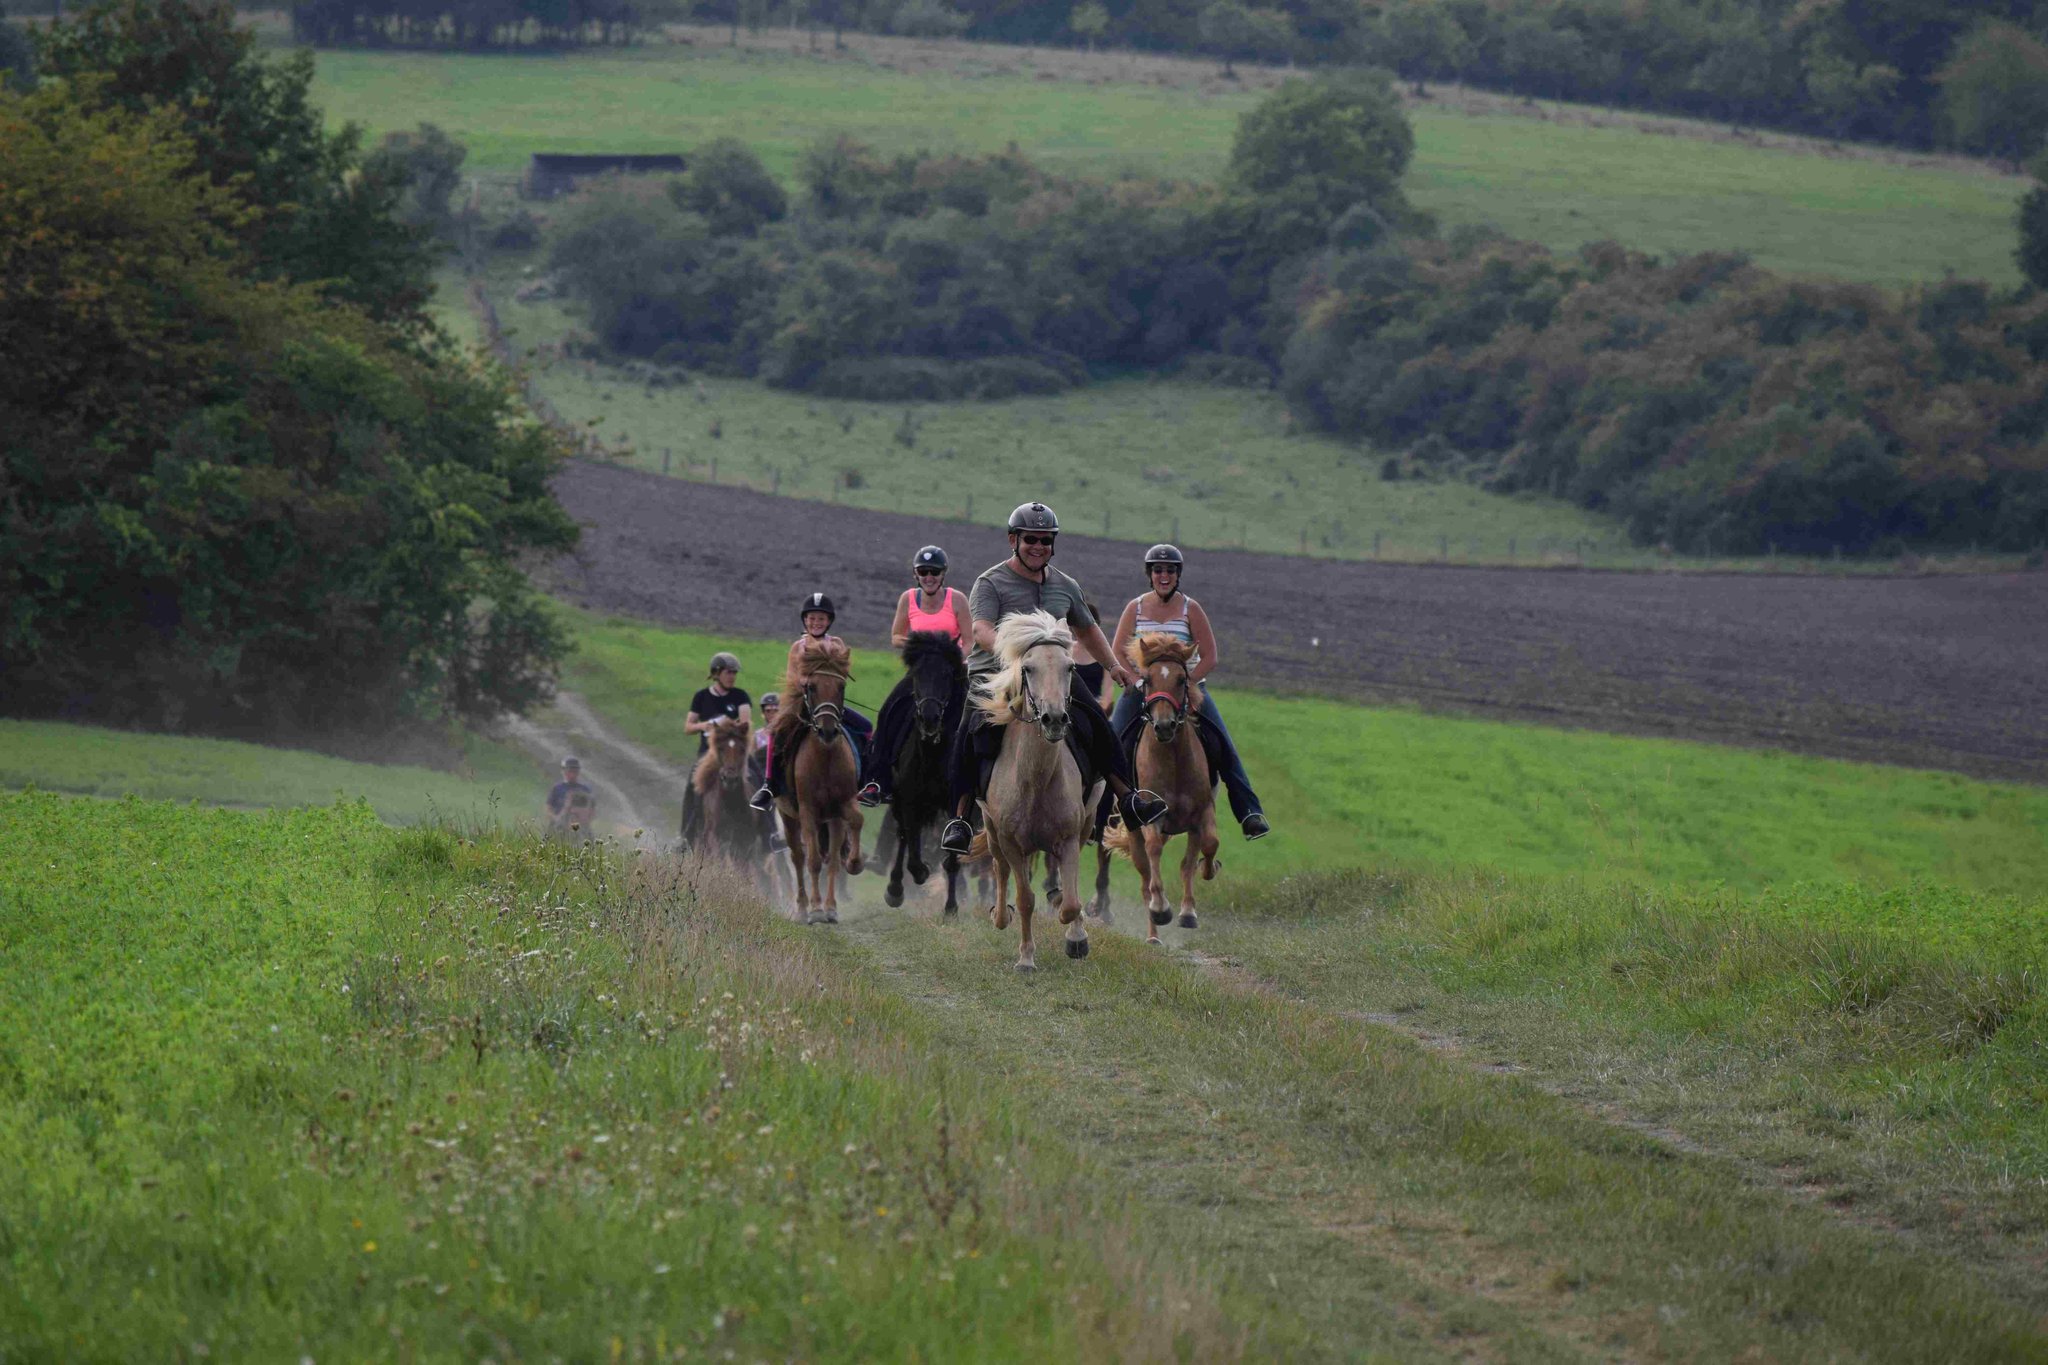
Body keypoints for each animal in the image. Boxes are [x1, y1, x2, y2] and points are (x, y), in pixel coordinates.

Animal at [690, 714, 758, 865]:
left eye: (742, 749)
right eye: (721, 748)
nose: (730, 779)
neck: (730, 803)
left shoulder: (746, 842)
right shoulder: (715, 837)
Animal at [770, 641, 864, 924]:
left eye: (841, 686)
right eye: (811, 687)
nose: (828, 730)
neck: (825, 758)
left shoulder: (841, 807)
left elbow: (840, 849)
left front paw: (832, 906)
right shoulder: (808, 810)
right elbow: (811, 861)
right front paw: (814, 910)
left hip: (829, 820)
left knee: (827, 857)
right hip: (789, 817)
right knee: (799, 858)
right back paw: (802, 909)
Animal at [883, 631, 972, 915]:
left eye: (946, 675)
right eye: (916, 674)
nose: (929, 718)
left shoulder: (957, 803)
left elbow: (953, 855)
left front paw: (951, 908)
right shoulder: (910, 798)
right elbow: (911, 846)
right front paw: (920, 873)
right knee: (903, 837)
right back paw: (895, 889)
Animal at [969, 611, 1103, 971]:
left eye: (1070, 667)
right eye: (1027, 668)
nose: (1054, 719)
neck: (1036, 780)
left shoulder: (1069, 837)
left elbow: (1070, 901)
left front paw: (1075, 939)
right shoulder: (1010, 842)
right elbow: (1025, 897)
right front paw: (1026, 958)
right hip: (992, 830)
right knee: (1000, 869)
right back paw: (1000, 916)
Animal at [1103, 635, 1219, 944]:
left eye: (1181, 679)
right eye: (1147, 679)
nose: (1164, 726)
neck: (1173, 759)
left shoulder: (1201, 813)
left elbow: (1205, 848)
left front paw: (1190, 909)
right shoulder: (1152, 817)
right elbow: (1154, 853)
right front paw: (1161, 908)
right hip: (1134, 832)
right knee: (1145, 878)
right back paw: (1153, 933)